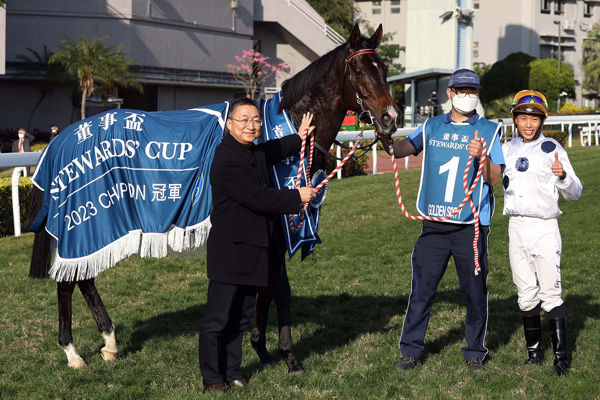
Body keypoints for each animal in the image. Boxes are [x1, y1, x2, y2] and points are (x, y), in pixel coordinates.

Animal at [27, 23, 398, 370]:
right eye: (359, 70)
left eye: (384, 69)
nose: (391, 118)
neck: (279, 133)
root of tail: (62, 139)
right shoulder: (279, 224)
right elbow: (281, 290)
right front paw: (289, 356)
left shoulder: (270, 232)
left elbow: (266, 289)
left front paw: (261, 348)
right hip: (84, 223)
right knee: (68, 282)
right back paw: (72, 352)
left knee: (82, 279)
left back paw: (109, 342)